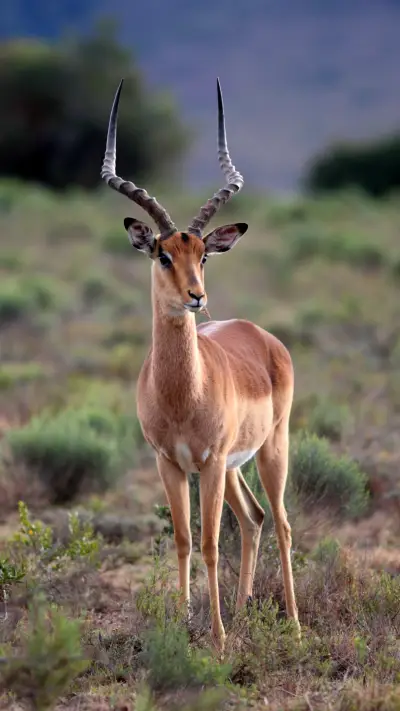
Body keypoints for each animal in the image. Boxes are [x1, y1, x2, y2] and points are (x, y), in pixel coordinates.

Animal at [101, 78, 299, 650]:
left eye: (203, 255)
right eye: (163, 254)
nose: (196, 296)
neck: (180, 394)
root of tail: (260, 334)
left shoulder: (206, 463)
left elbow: (211, 544)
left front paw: (216, 637)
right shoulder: (170, 463)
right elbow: (186, 541)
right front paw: (187, 622)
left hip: (269, 449)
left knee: (281, 523)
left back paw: (295, 626)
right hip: (233, 466)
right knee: (253, 519)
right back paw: (244, 608)